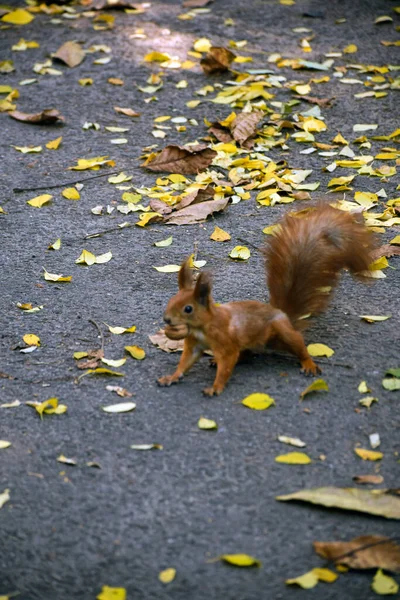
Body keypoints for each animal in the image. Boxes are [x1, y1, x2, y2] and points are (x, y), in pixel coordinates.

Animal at [157, 204, 376, 396]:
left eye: (188, 309)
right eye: (171, 300)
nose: (166, 319)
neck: (203, 326)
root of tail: (284, 315)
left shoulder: (226, 344)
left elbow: (226, 365)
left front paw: (216, 387)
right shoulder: (194, 344)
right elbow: (186, 362)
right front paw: (171, 377)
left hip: (282, 333)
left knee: (298, 345)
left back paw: (308, 363)